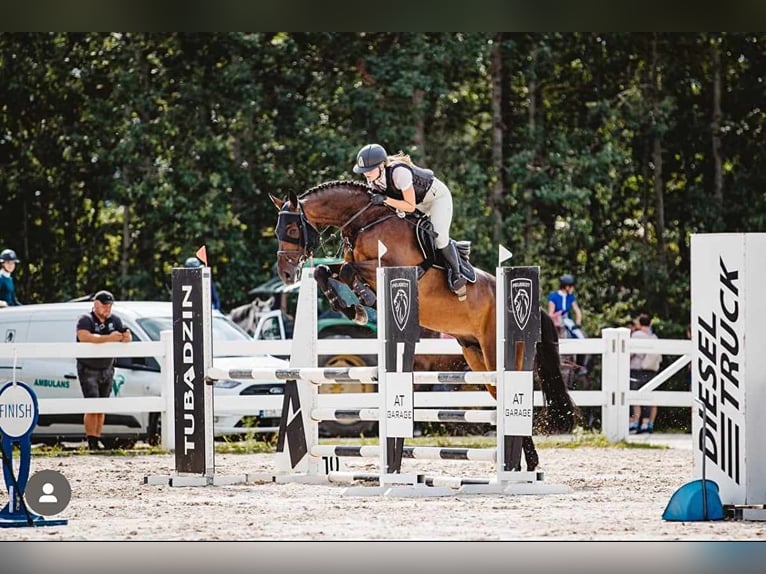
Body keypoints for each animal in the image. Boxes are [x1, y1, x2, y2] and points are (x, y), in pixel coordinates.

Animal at [270, 181, 576, 472]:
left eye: (293, 229)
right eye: (276, 231)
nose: (286, 273)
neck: (364, 221)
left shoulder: (391, 267)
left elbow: (347, 270)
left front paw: (363, 300)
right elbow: (326, 271)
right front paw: (352, 308)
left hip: (496, 352)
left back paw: (524, 465)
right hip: (475, 354)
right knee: (500, 395)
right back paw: (526, 463)